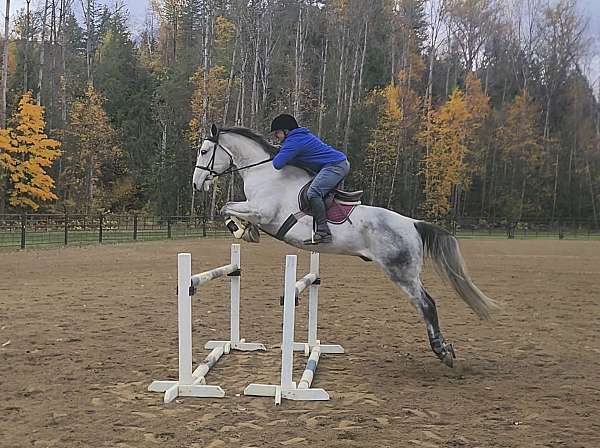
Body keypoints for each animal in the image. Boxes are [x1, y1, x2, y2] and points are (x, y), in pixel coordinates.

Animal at [192, 125, 496, 368]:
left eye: (205, 151)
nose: (197, 184)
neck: (265, 172)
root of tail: (413, 224)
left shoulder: (263, 212)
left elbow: (226, 207)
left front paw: (242, 229)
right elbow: (228, 207)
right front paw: (245, 230)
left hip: (402, 272)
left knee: (426, 304)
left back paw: (442, 351)